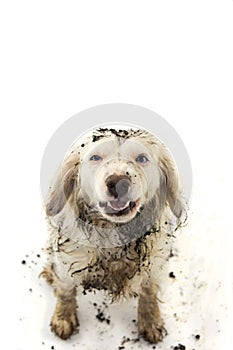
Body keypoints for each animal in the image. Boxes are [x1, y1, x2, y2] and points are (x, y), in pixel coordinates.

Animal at [41, 127, 187, 344]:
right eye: (95, 157)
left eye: (142, 158)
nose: (118, 183)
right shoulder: (66, 262)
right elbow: (66, 290)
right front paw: (63, 319)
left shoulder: (154, 264)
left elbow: (149, 293)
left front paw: (151, 322)